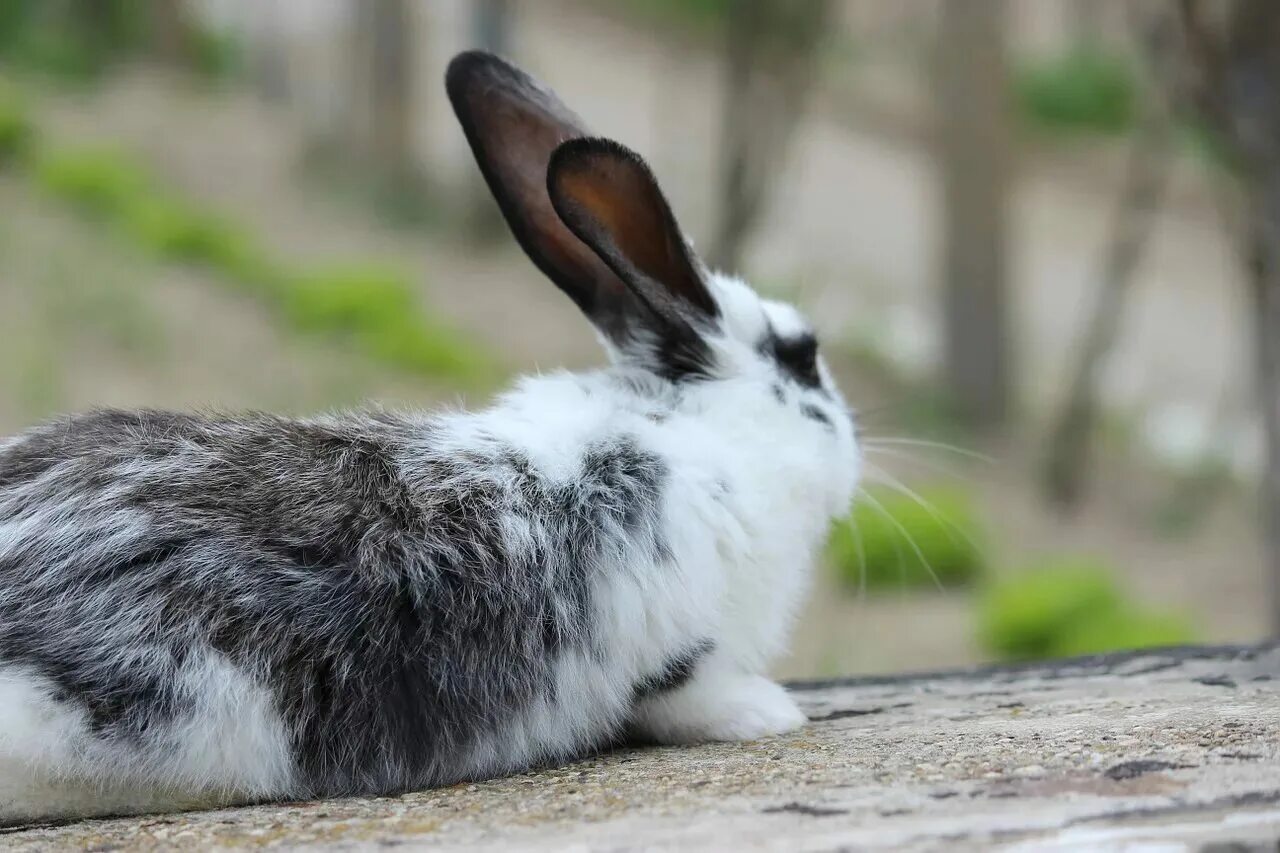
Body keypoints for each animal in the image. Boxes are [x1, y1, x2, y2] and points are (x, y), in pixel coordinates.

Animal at [0, 50, 860, 824]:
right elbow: (692, 694)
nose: (855, 454)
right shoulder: (684, 647)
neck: (695, 430)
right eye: (803, 355)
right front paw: (770, 711)